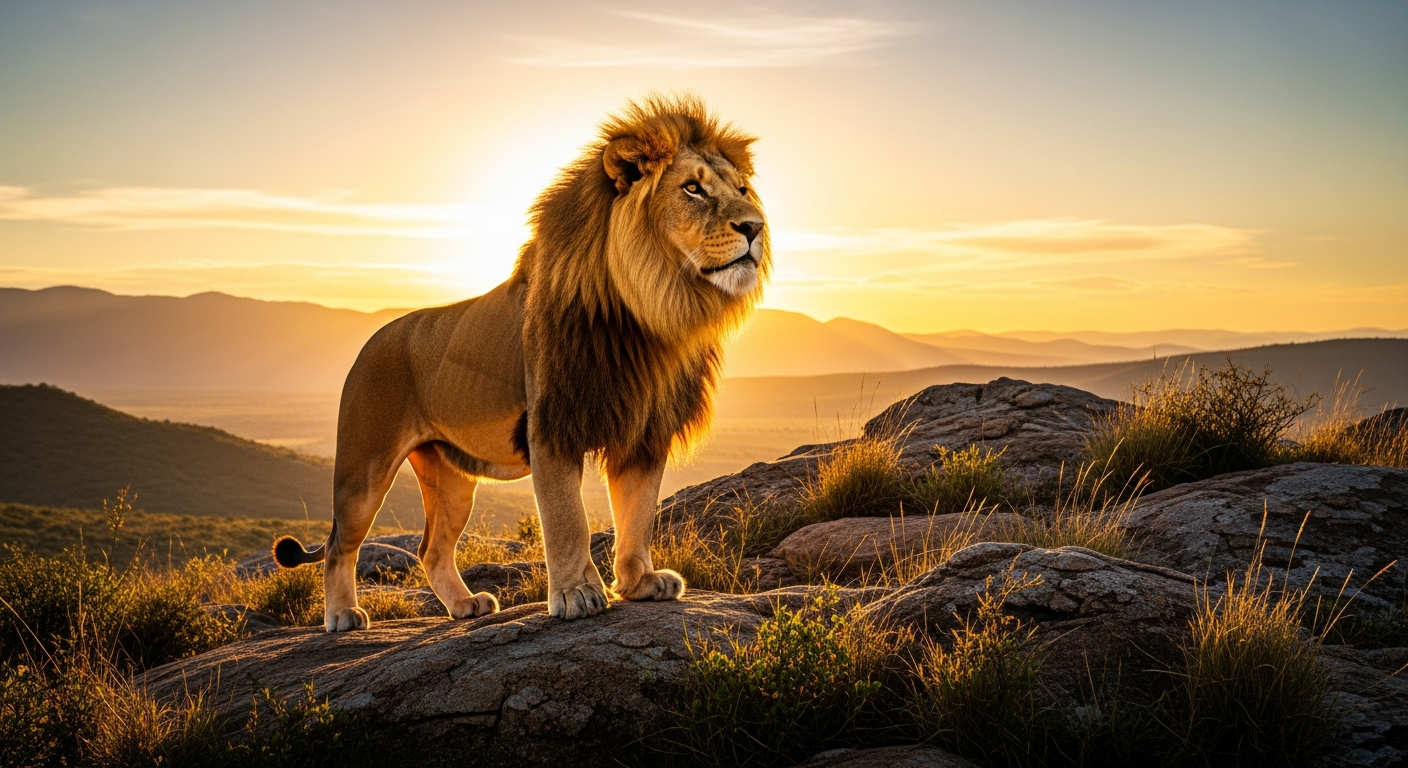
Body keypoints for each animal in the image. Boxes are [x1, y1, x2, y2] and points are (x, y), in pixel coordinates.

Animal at [271, 95, 769, 631]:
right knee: (338, 545)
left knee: (431, 550)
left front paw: (640, 583)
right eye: (692, 188)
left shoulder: (643, 429)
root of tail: (371, 341)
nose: (755, 226)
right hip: (364, 467)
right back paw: (343, 615)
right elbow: (568, 519)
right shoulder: (552, 424)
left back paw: (466, 606)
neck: (653, 310)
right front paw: (576, 594)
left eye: (742, 190)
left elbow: (637, 513)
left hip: (451, 479)